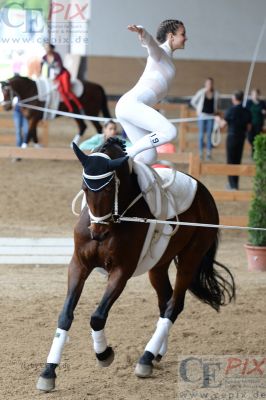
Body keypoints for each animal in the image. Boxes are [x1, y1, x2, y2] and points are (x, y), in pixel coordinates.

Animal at [35, 137, 235, 390]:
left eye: (109, 188)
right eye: (84, 188)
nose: (97, 234)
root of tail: (203, 191)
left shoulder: (121, 270)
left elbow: (97, 317)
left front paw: (104, 354)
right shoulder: (78, 265)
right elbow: (65, 315)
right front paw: (48, 371)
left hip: (191, 257)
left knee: (174, 305)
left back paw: (146, 358)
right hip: (158, 265)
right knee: (164, 301)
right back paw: (156, 353)